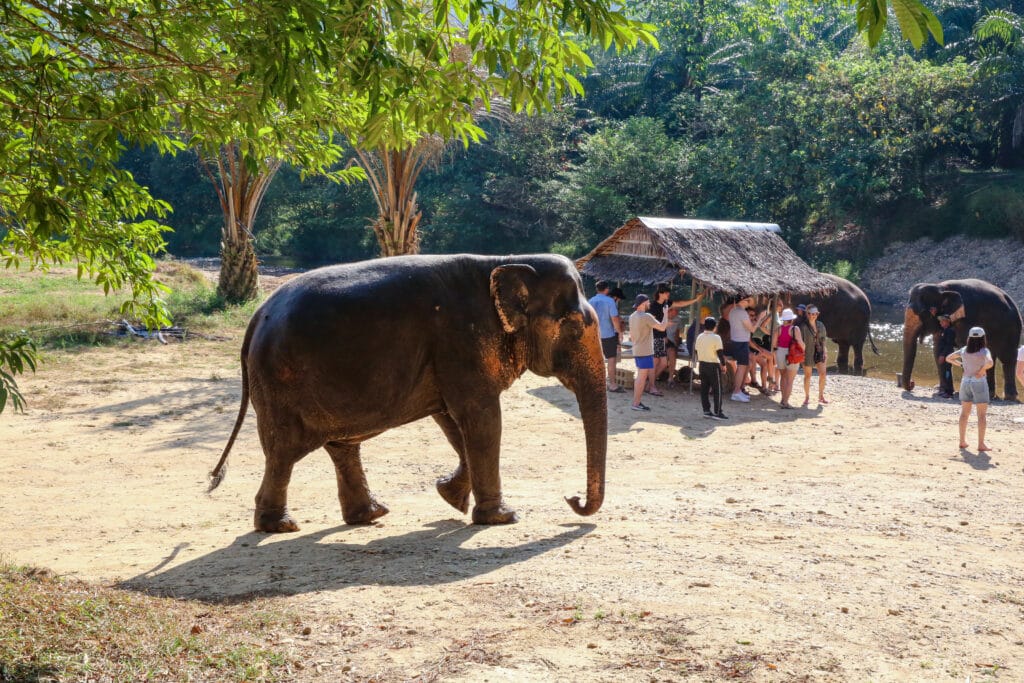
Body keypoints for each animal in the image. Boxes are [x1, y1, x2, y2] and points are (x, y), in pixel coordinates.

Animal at [208, 253, 608, 532]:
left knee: (340, 447)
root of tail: (257, 315)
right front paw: (502, 518)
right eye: (575, 328)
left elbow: (454, 420)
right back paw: (281, 526)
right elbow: (481, 418)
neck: (503, 260)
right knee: (283, 451)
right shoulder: (462, 341)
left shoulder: (449, 355)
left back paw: (370, 515)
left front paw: (450, 496)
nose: (572, 499)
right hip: (278, 381)